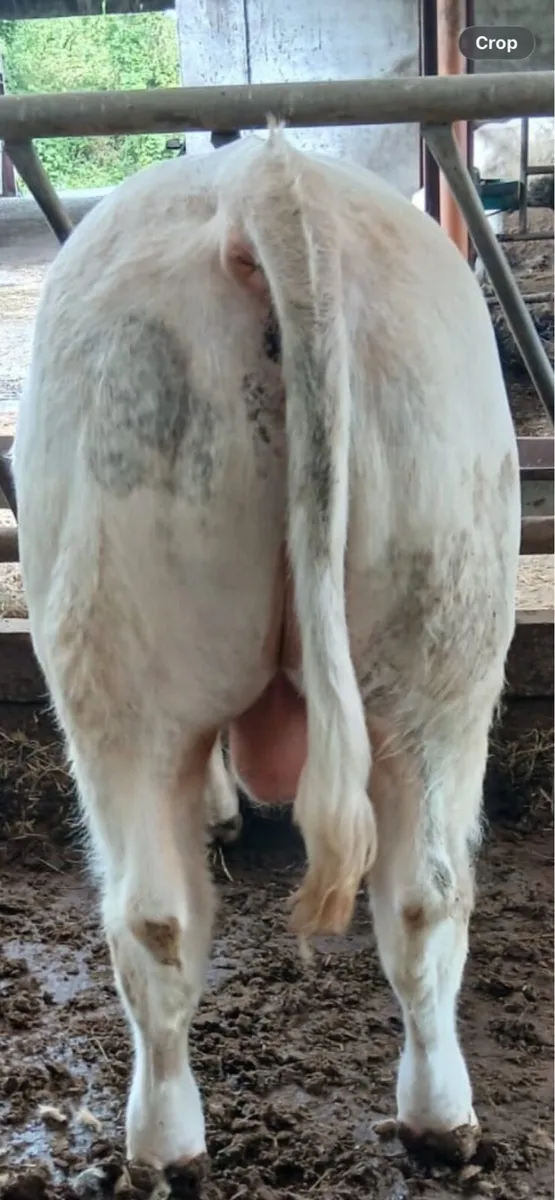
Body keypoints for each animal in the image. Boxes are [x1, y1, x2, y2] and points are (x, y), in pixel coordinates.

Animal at [12, 126, 521, 1175]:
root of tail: (269, 179)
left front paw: (218, 814)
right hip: (443, 640)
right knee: (422, 897)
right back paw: (437, 1121)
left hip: (109, 655)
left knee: (151, 915)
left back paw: (162, 1144)